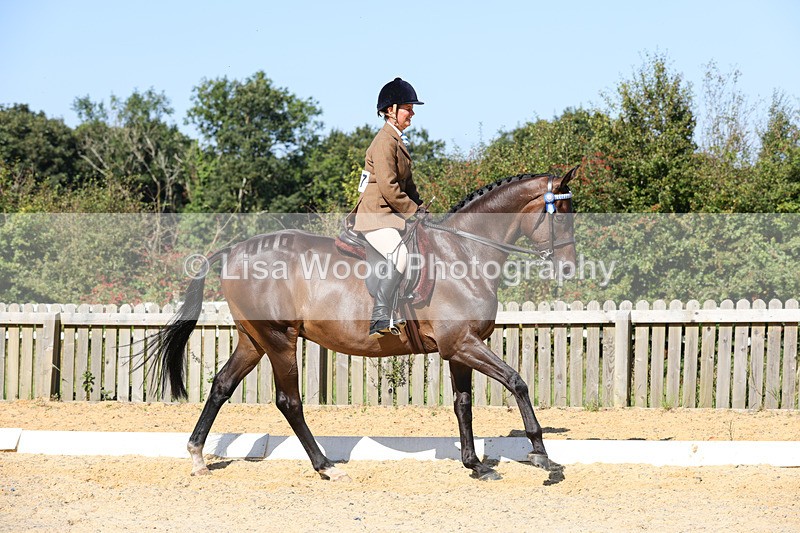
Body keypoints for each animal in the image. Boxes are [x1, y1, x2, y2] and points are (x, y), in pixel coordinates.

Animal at [153, 167, 577, 481]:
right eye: (563, 216)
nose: (568, 268)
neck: (466, 251)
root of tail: (234, 249)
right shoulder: (463, 343)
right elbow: (517, 382)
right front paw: (541, 455)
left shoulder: (459, 348)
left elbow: (463, 404)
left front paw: (475, 465)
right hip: (279, 339)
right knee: (289, 402)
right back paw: (326, 467)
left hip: (253, 340)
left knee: (222, 386)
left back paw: (197, 456)